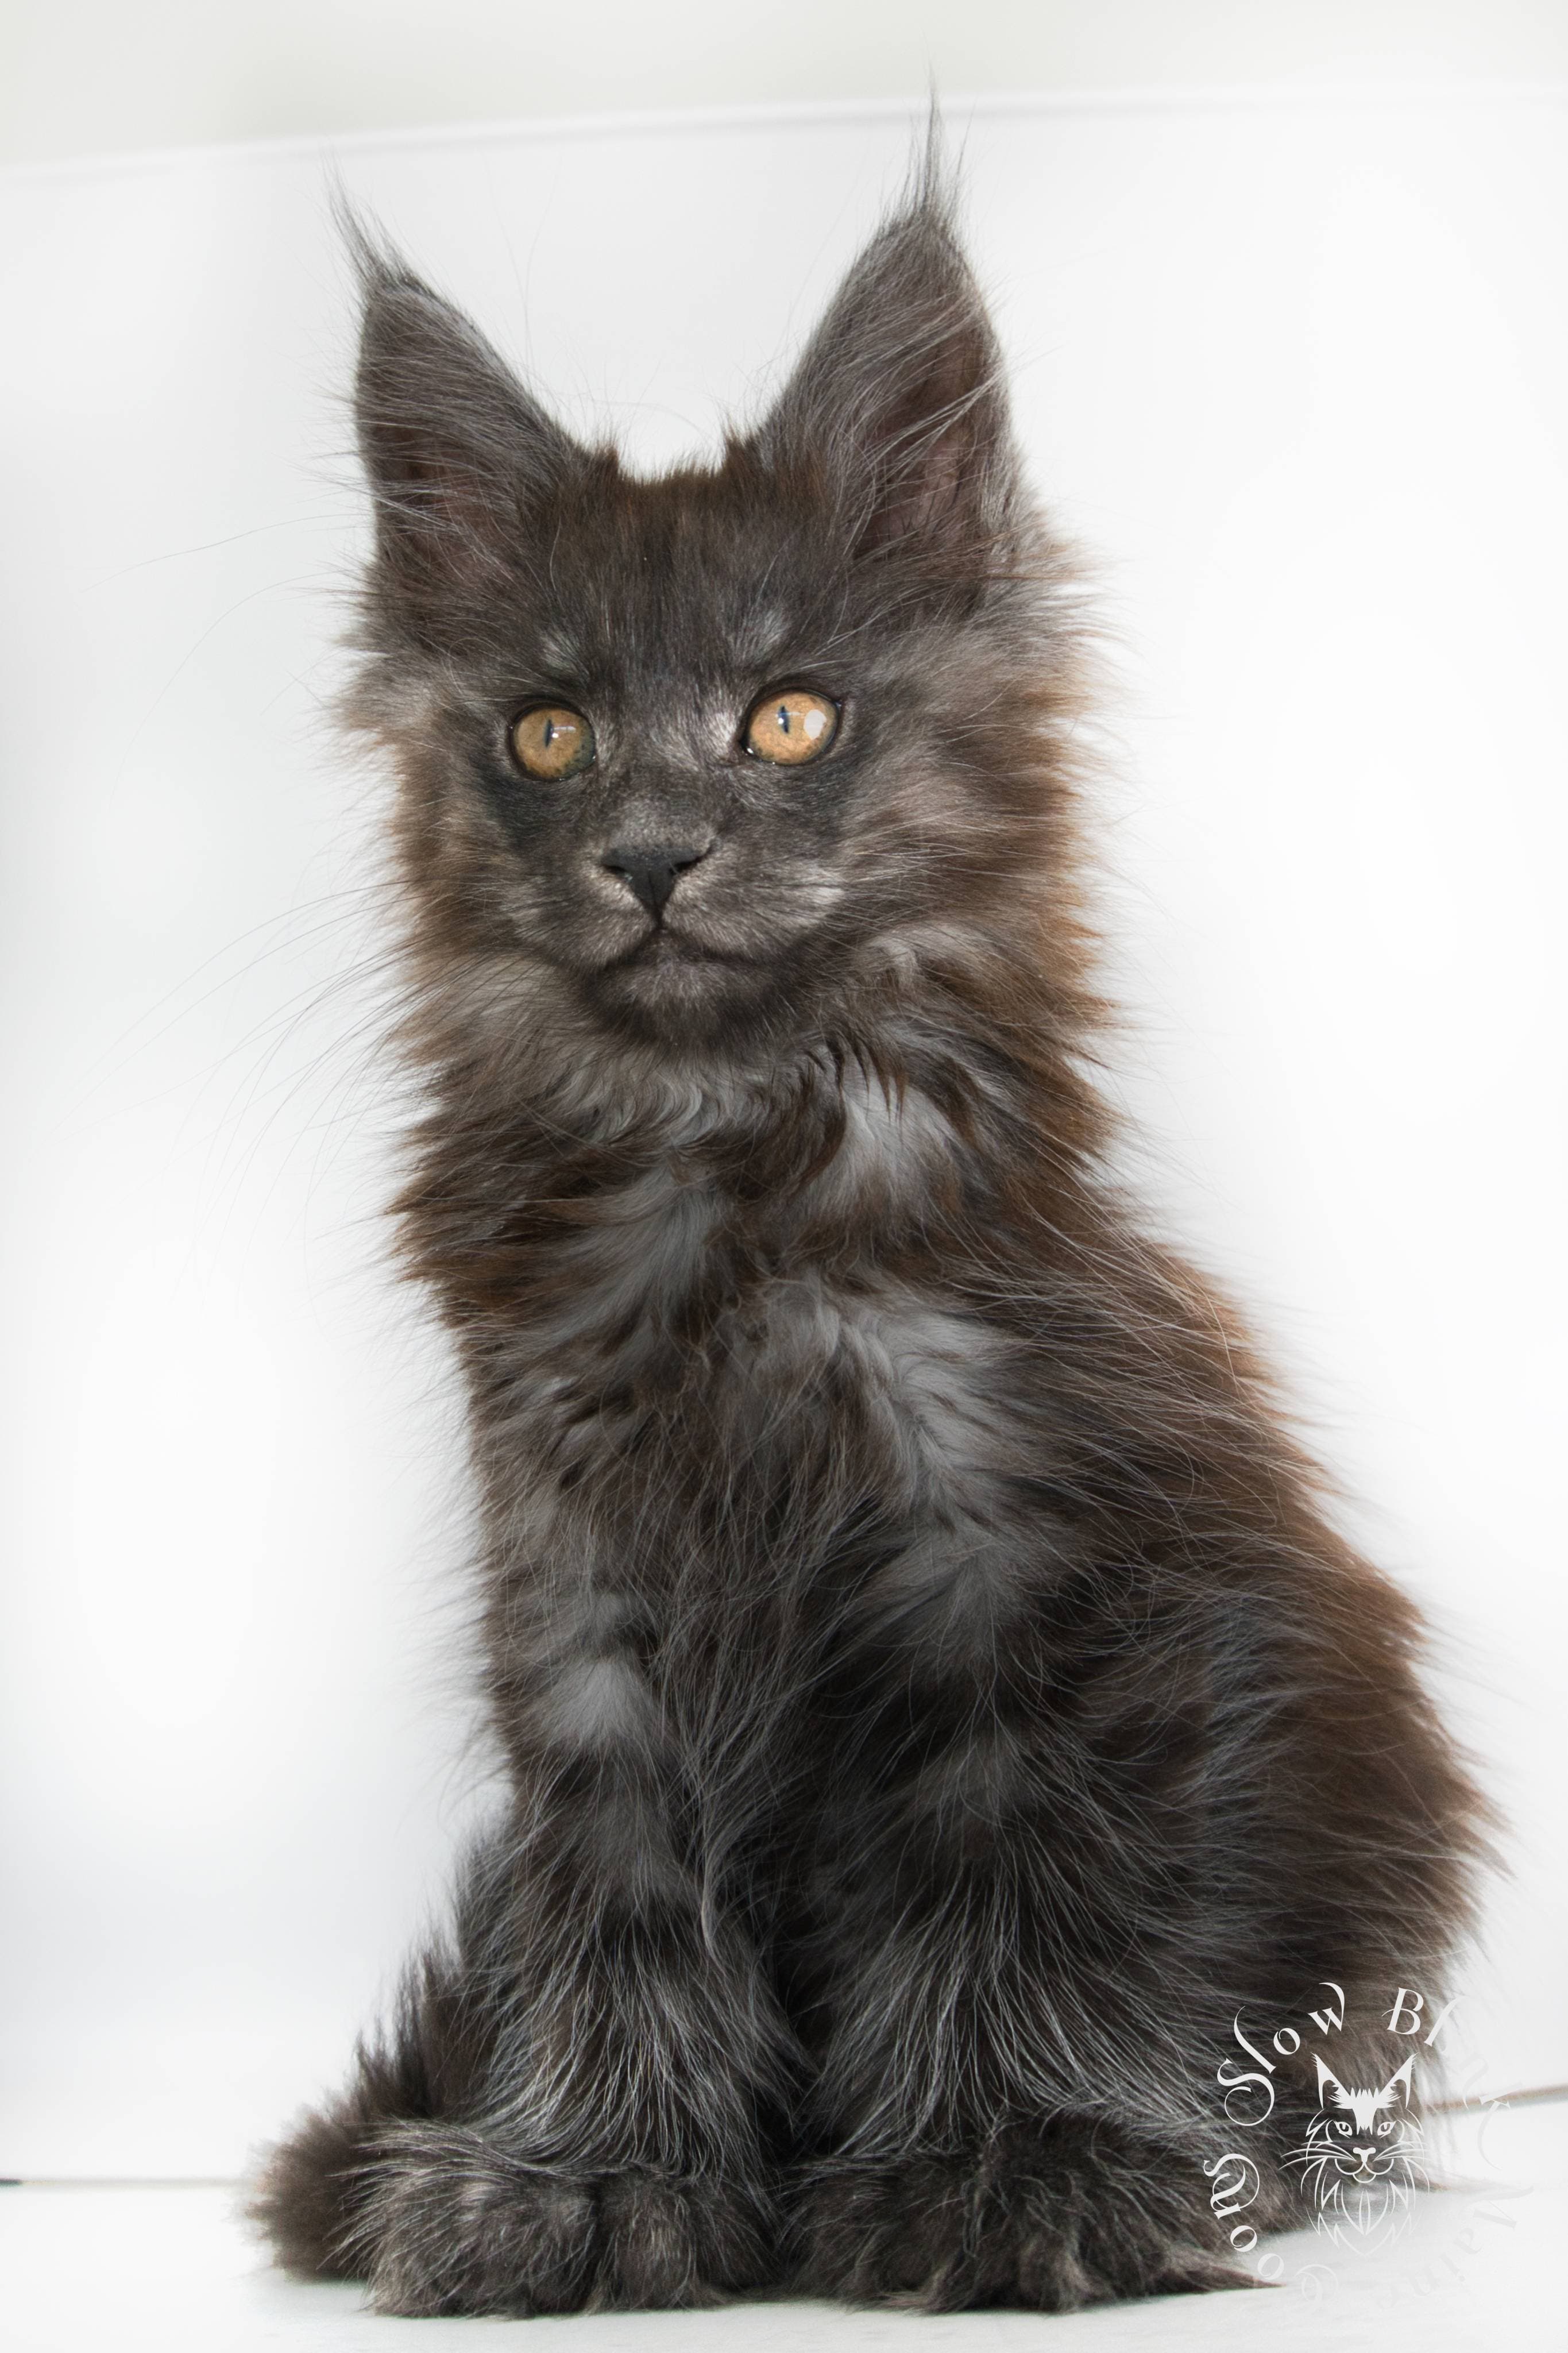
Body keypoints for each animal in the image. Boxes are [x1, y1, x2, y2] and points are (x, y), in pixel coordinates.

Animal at [251, 165, 1495, 2315]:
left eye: (788, 715)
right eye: (552, 736)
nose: (653, 855)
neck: (721, 1179)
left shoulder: (1028, 1561)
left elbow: (1013, 1887)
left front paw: (1002, 2166)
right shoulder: (587, 1600)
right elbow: (618, 1906)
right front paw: (591, 2177)